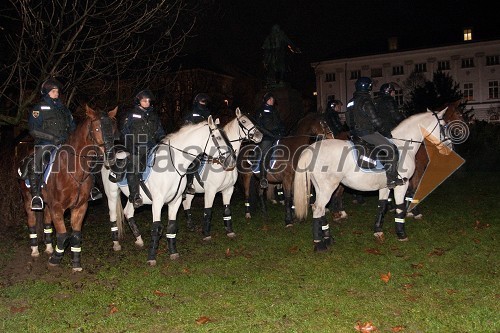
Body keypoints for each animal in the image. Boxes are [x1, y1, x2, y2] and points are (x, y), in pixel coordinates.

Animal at [18, 105, 118, 272]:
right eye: (97, 128)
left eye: (113, 128)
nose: (110, 156)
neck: (73, 169)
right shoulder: (58, 207)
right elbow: (63, 235)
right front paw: (55, 258)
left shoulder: (80, 207)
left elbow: (75, 235)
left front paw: (76, 263)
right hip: (28, 200)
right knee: (31, 221)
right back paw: (35, 250)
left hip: (48, 204)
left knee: (46, 221)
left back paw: (49, 248)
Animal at [102, 113, 237, 264]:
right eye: (218, 137)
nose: (231, 161)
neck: (173, 166)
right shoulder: (157, 202)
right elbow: (156, 228)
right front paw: (151, 257)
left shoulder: (175, 201)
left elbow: (171, 226)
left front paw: (173, 252)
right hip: (112, 195)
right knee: (113, 215)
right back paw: (116, 244)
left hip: (133, 198)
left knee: (128, 212)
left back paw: (139, 240)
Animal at [182, 109, 264, 239]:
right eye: (244, 121)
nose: (259, 135)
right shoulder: (210, 191)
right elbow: (208, 211)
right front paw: (206, 233)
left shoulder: (228, 189)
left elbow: (227, 210)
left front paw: (229, 231)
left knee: (186, 203)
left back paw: (190, 225)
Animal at [292, 107, 454, 250]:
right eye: (444, 125)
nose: (450, 147)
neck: (403, 145)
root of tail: (311, 148)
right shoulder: (402, 185)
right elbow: (400, 207)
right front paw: (401, 233)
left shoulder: (385, 186)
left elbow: (382, 206)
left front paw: (378, 231)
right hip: (328, 188)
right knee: (318, 209)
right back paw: (319, 244)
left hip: (320, 188)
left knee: (319, 209)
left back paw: (328, 238)